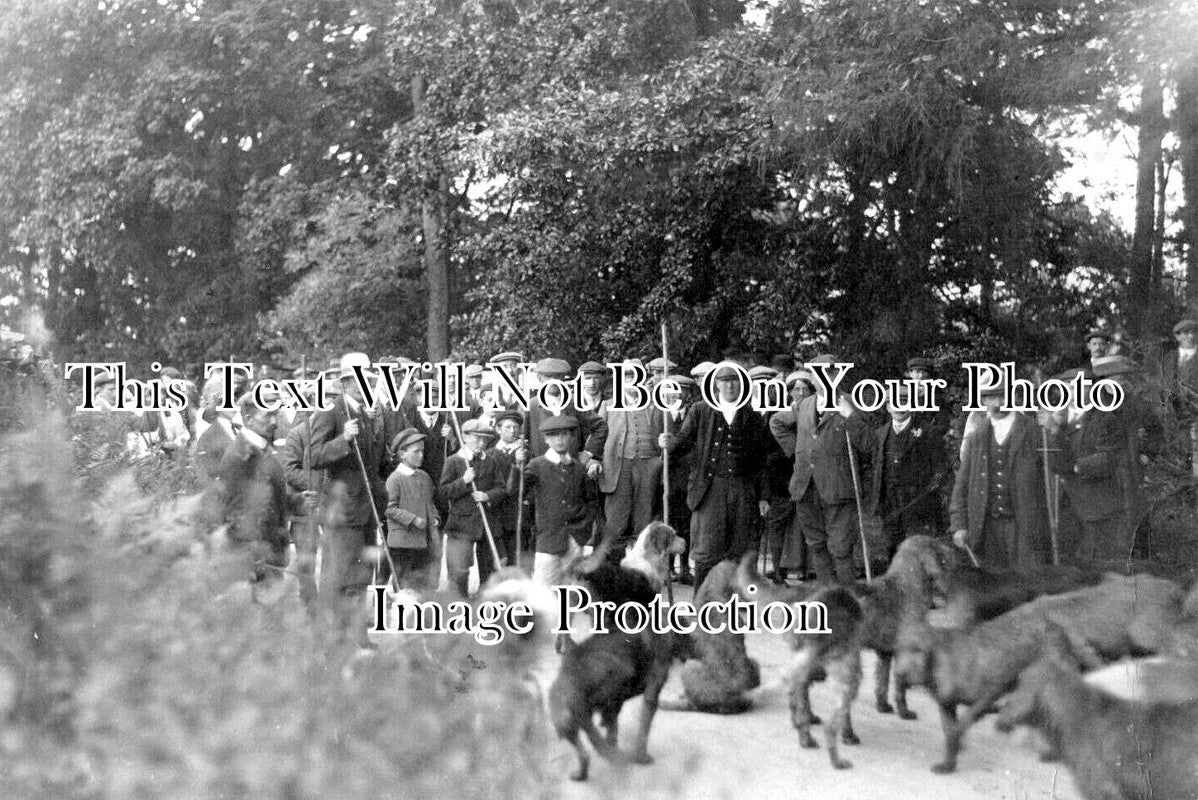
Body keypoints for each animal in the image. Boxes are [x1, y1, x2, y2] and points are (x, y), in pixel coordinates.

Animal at [896, 572, 1183, 771]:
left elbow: (961, 726)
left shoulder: (987, 694)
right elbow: (951, 732)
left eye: (917, 651)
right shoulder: (948, 705)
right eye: (898, 652)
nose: (898, 674)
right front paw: (949, 762)